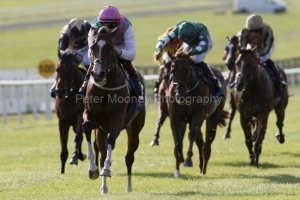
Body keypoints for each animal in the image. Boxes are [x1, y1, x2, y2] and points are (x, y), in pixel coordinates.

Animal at [81, 25, 145, 193]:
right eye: (92, 47)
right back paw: (104, 188)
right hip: (101, 130)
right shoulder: (92, 116)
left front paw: (107, 169)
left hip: (134, 129)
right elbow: (86, 127)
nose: (97, 74)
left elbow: (111, 141)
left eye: (110, 48)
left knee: (129, 157)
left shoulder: (118, 118)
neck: (106, 87)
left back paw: (129, 188)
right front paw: (92, 170)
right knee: (103, 154)